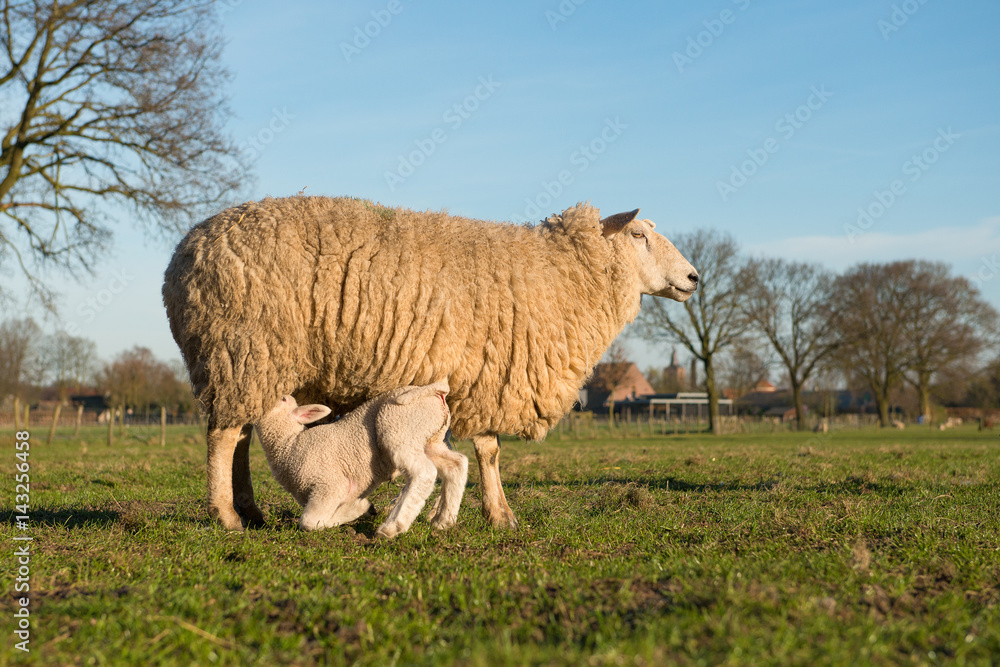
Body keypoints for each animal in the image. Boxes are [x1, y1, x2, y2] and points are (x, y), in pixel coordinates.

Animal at [254, 381, 467, 537]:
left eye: (282, 398)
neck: (289, 445)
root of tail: (435, 391)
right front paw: (362, 509)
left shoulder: (330, 485)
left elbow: (308, 522)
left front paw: (359, 508)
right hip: (429, 437)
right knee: (457, 464)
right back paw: (443, 522)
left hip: (400, 426)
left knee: (424, 473)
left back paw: (392, 527)